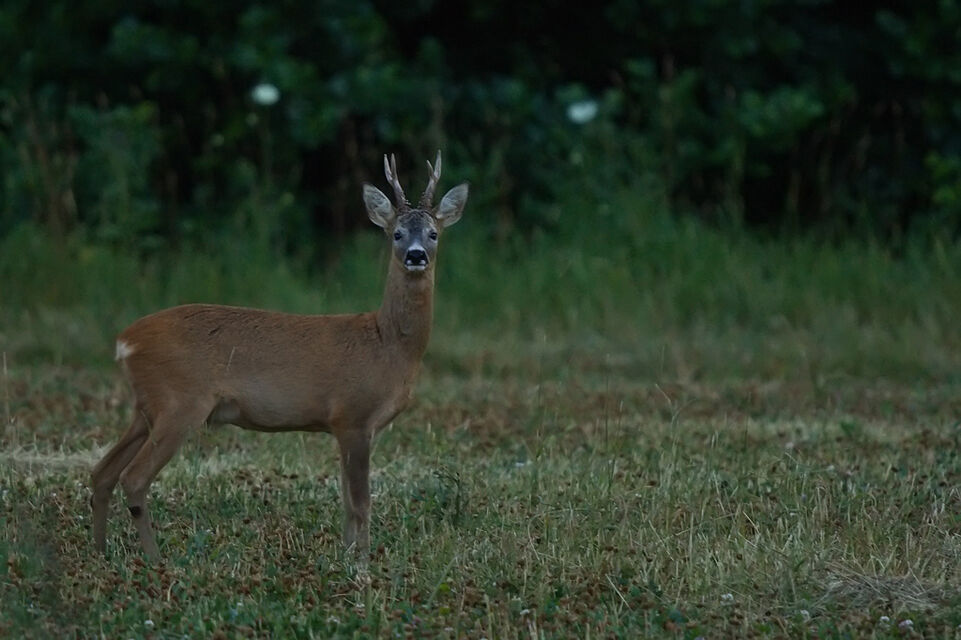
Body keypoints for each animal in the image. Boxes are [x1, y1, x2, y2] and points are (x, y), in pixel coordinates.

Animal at [90, 151, 468, 561]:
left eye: (433, 234)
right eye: (397, 233)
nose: (416, 255)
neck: (388, 344)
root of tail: (125, 341)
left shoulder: (344, 427)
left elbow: (346, 502)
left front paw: (346, 556)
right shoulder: (353, 416)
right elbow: (361, 502)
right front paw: (363, 563)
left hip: (146, 407)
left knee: (102, 472)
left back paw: (101, 552)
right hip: (180, 403)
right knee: (133, 478)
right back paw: (156, 560)